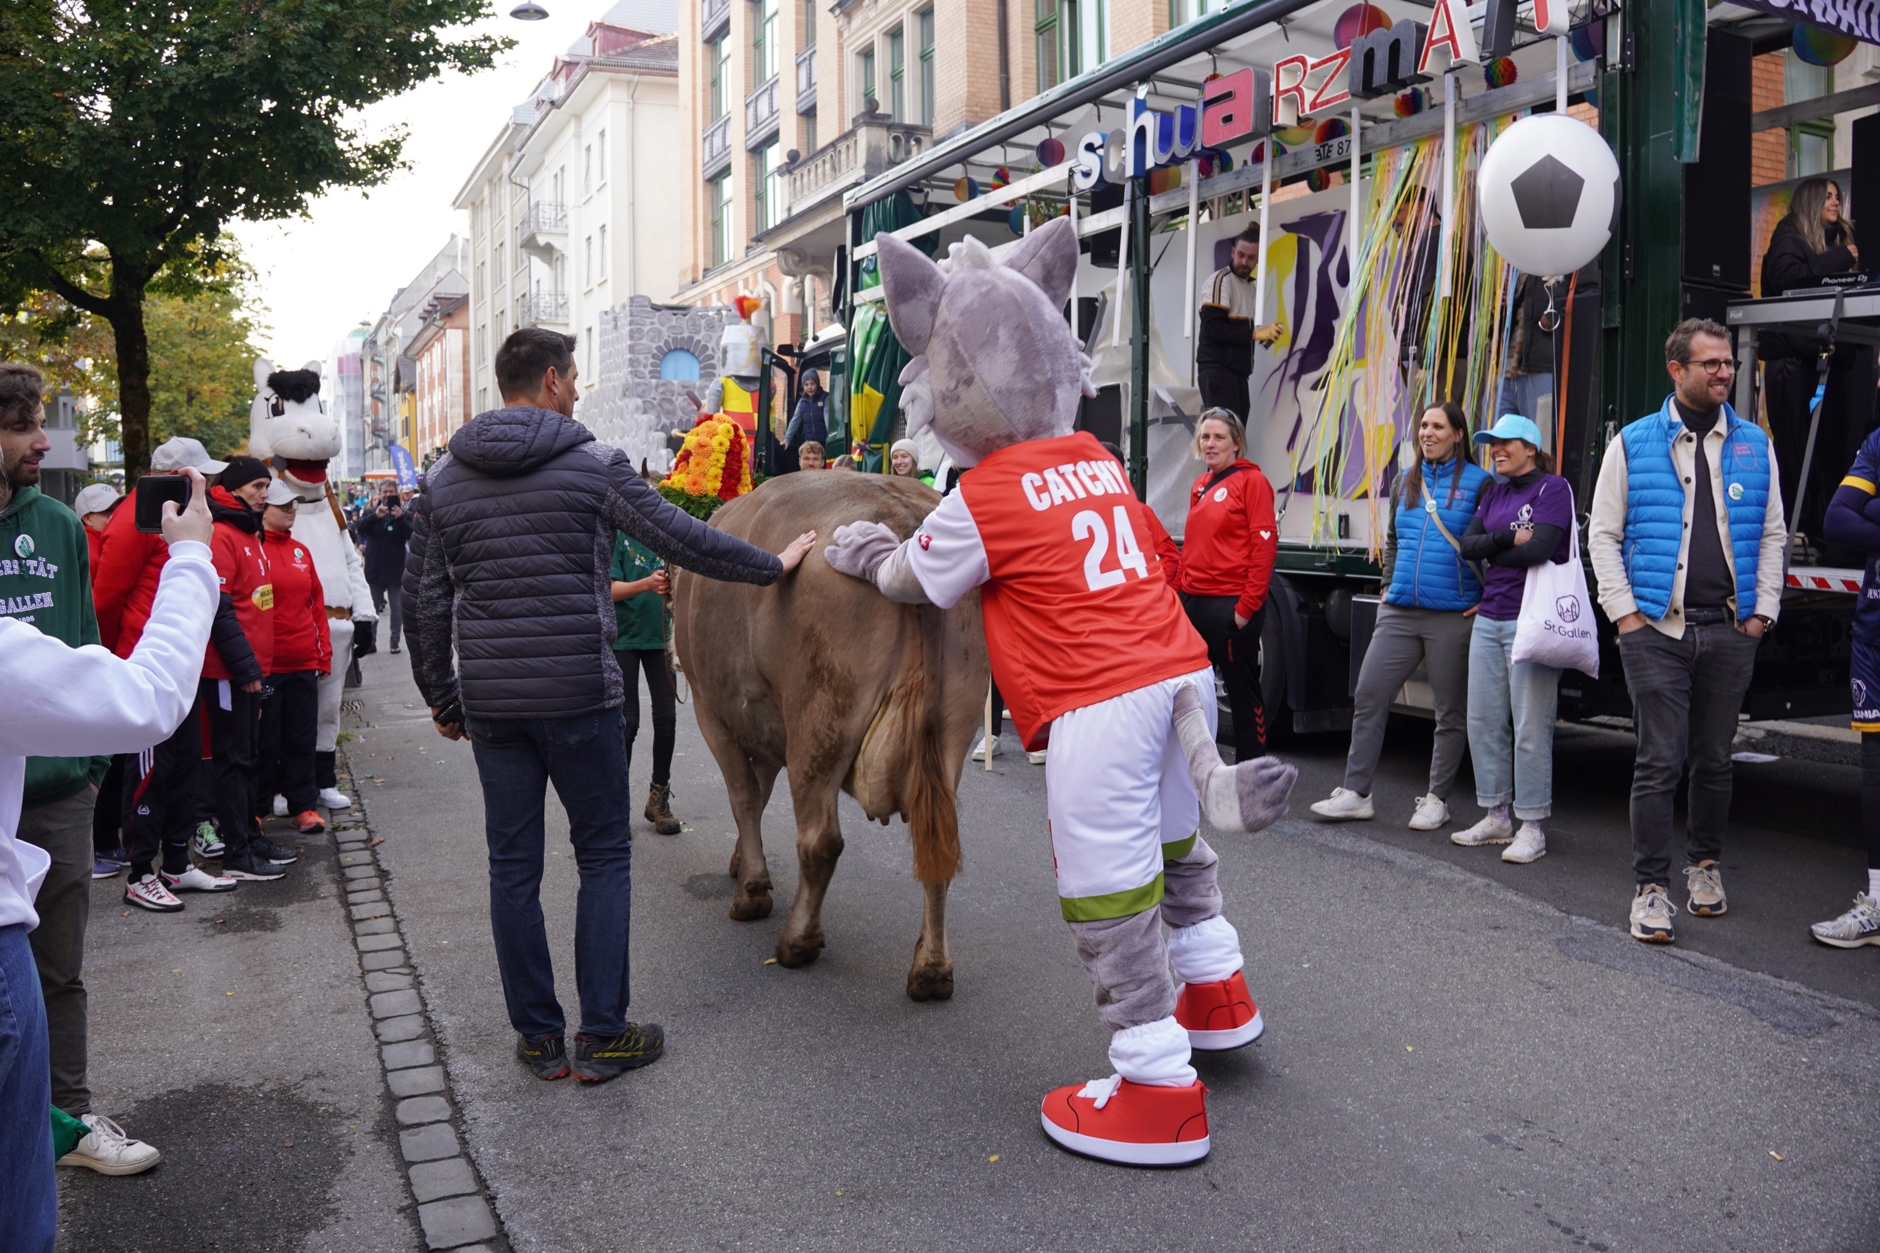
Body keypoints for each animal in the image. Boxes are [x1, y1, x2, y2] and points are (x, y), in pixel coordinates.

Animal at [669, 466, 985, 993]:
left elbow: (744, 796)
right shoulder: (766, 726)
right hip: (952, 732)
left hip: (820, 722)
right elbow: (758, 794)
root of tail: (903, 519)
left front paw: (751, 889)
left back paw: (798, 942)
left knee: (820, 841)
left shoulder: (714, 713)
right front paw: (742, 862)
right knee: (939, 847)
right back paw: (932, 969)